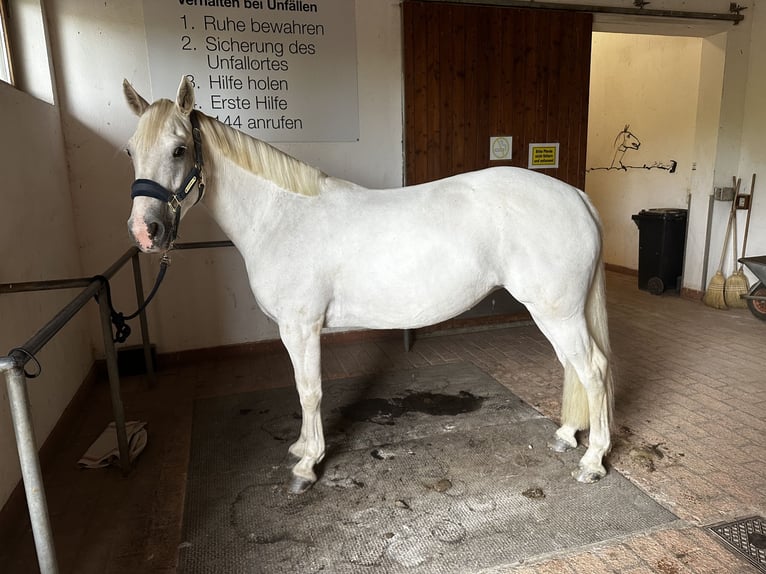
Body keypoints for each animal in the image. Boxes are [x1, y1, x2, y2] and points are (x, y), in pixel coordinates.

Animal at [126, 76, 616, 496]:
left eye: (179, 149)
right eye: (130, 150)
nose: (146, 231)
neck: (280, 216)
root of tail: (575, 196)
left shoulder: (301, 328)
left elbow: (309, 390)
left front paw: (307, 466)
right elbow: (304, 390)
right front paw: (302, 448)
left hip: (558, 312)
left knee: (593, 369)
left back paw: (592, 460)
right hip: (554, 314)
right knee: (572, 367)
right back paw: (566, 435)